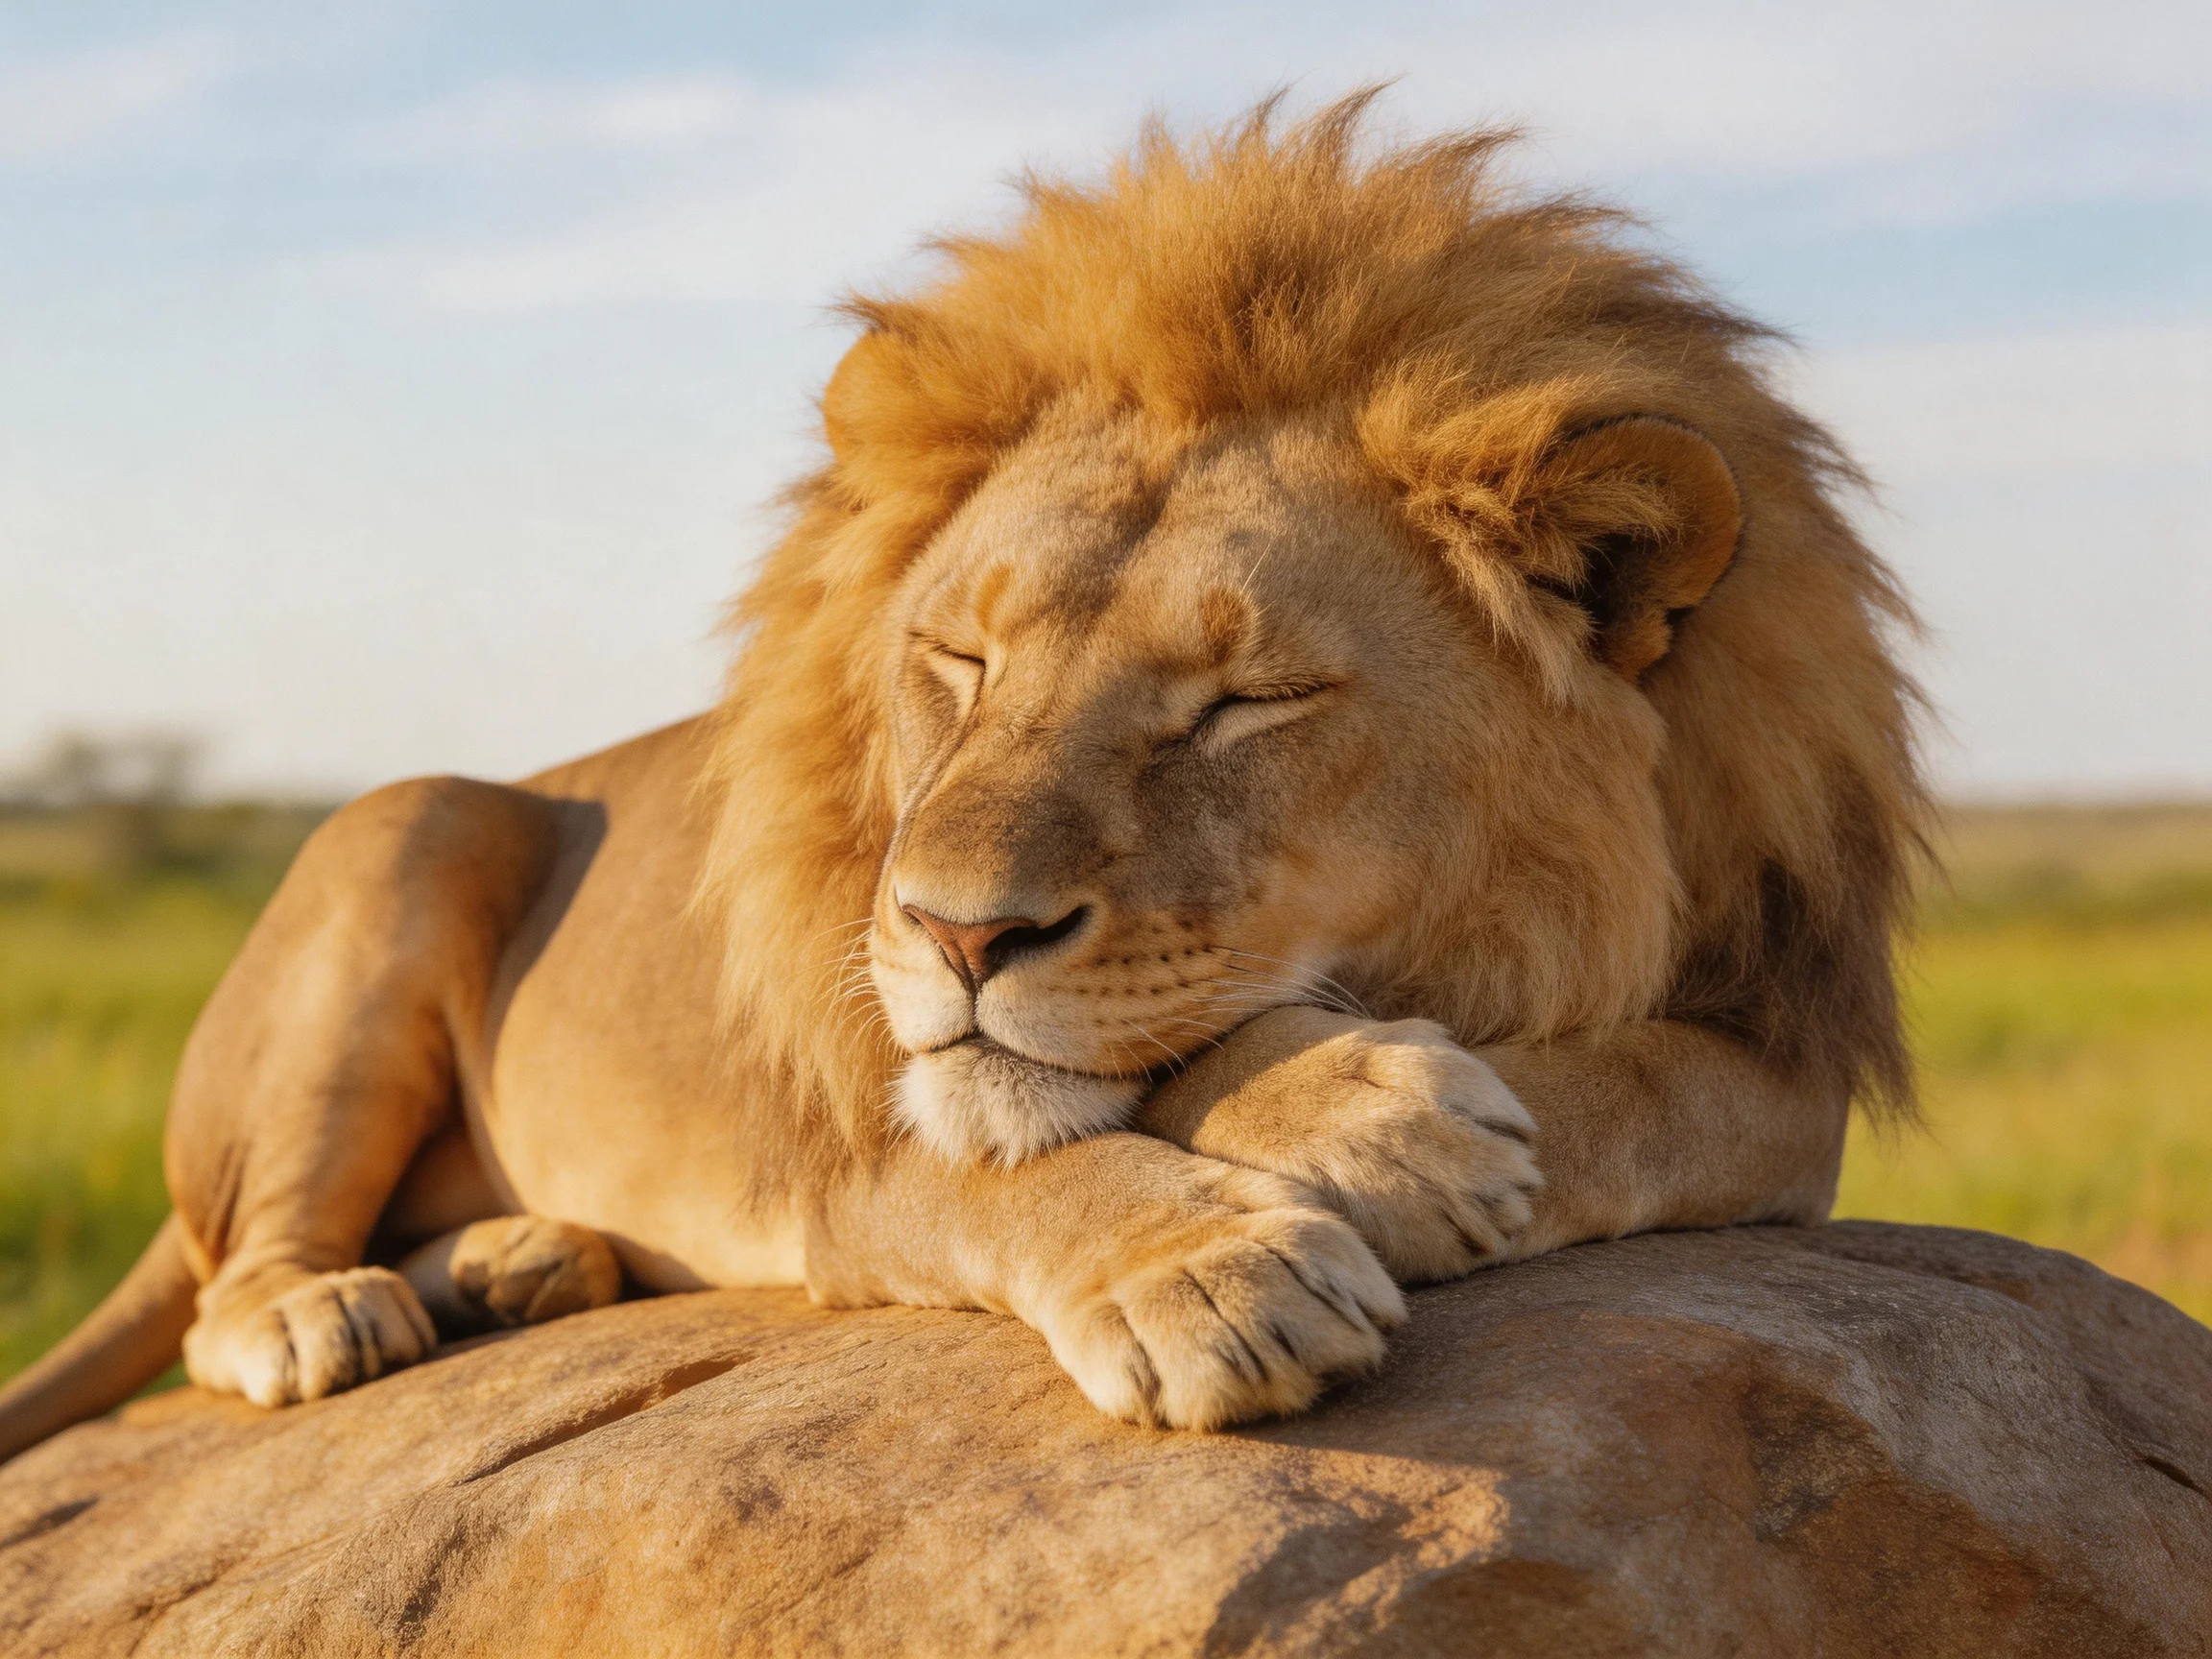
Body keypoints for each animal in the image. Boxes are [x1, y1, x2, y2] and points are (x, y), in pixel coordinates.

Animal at [0, 95, 1925, 1454]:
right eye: (964, 660)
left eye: (1242, 702)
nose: (948, 933)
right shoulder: (839, 1150)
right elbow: (1020, 1161)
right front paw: (1234, 1252)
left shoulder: (1777, 1055)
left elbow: (1652, 1090)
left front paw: (1400, 1125)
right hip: (403, 828)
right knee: (226, 1283)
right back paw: (331, 1313)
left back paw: (521, 1257)